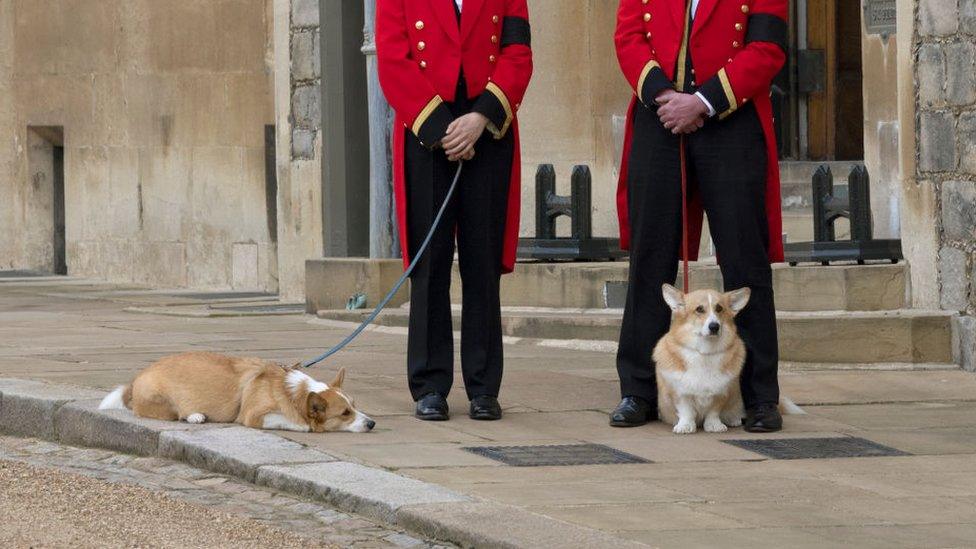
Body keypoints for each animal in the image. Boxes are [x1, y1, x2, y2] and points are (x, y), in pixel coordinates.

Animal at [99, 352, 374, 432]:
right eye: (345, 413)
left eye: (355, 406)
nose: (372, 423)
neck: (293, 394)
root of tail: (135, 381)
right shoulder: (254, 416)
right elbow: (292, 421)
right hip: (165, 403)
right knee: (177, 414)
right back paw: (195, 415)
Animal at [656, 282, 756, 432]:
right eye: (699, 309)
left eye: (719, 308)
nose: (714, 326)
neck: (705, 352)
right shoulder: (679, 392)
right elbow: (686, 410)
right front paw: (685, 426)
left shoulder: (721, 392)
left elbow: (713, 412)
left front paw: (714, 425)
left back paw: (734, 419)